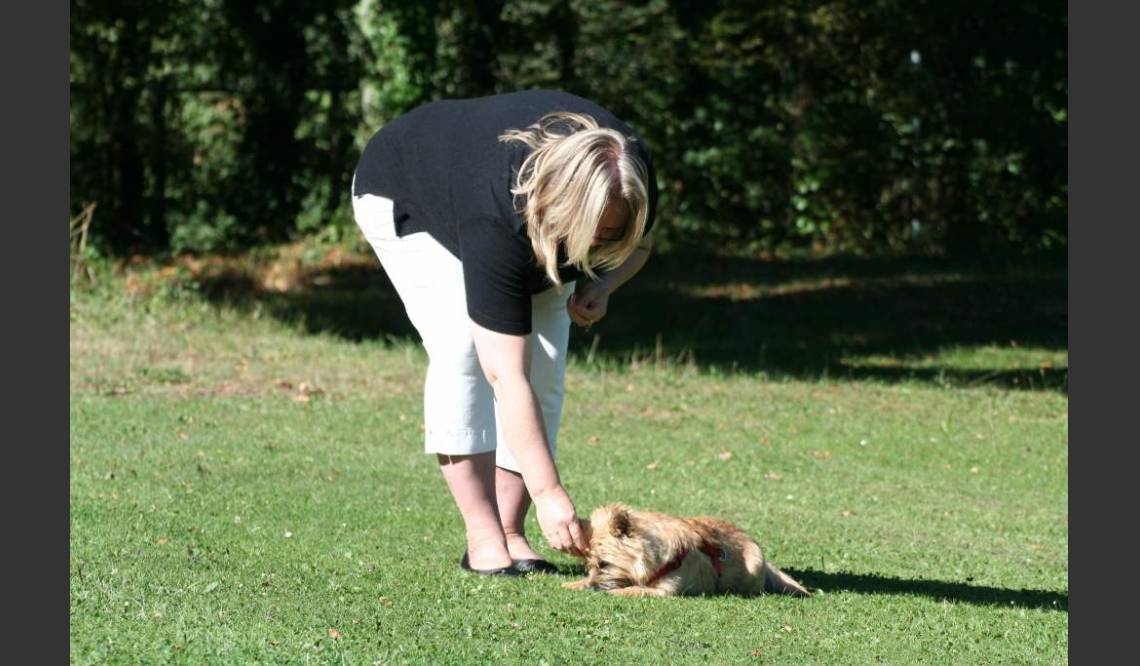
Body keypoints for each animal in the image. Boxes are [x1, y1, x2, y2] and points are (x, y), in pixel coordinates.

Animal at [560, 504, 811, 597]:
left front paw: (615, 591)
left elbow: (632, 589)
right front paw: (574, 584)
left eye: (604, 563)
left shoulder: (665, 590)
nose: (592, 587)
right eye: (589, 565)